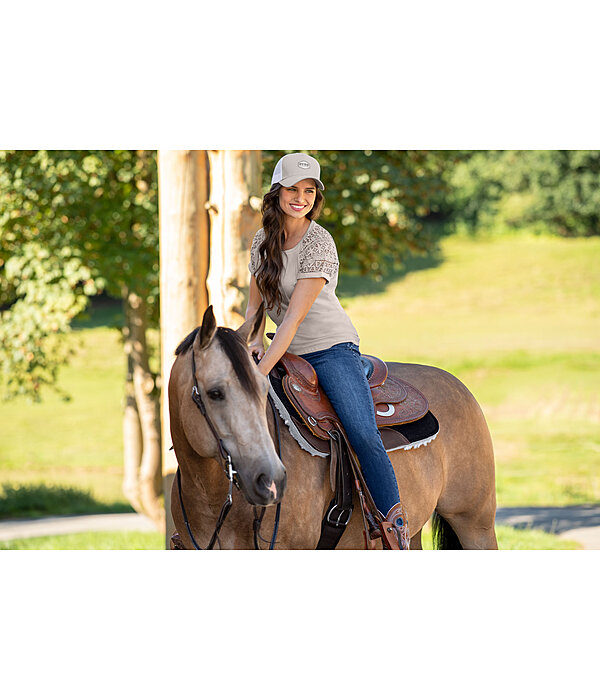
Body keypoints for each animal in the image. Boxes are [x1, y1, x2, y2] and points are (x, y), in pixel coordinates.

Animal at [168, 304, 496, 548]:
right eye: (215, 393)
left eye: (263, 391)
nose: (270, 479)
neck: (210, 494)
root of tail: (456, 383)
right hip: (417, 529)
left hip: (474, 523)